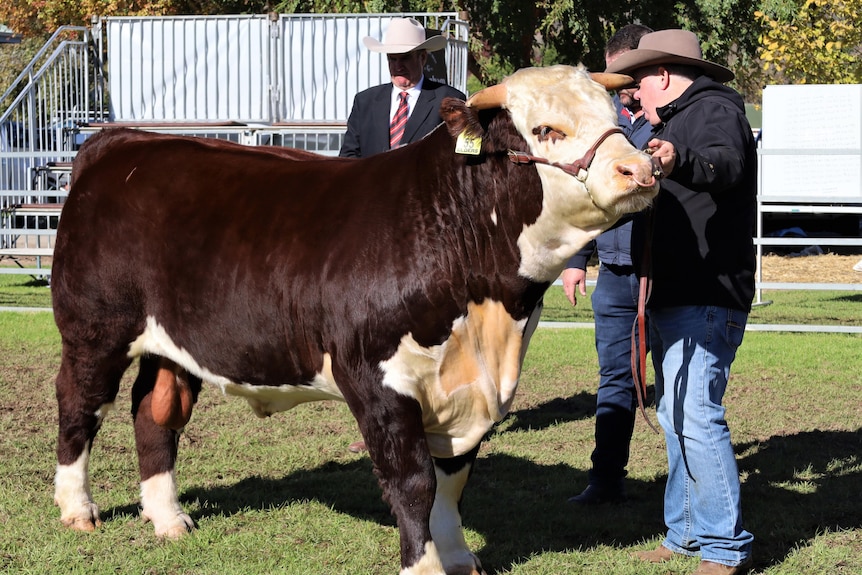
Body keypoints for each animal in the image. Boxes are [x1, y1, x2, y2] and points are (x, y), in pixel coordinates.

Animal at [52, 64, 660, 575]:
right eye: (546, 129)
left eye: (614, 116)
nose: (640, 168)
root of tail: (126, 141)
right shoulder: (376, 378)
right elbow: (412, 482)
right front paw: (424, 567)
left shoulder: (469, 388)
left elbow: (453, 480)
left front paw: (459, 558)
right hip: (95, 329)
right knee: (80, 404)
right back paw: (77, 509)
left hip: (170, 342)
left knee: (156, 411)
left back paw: (167, 518)